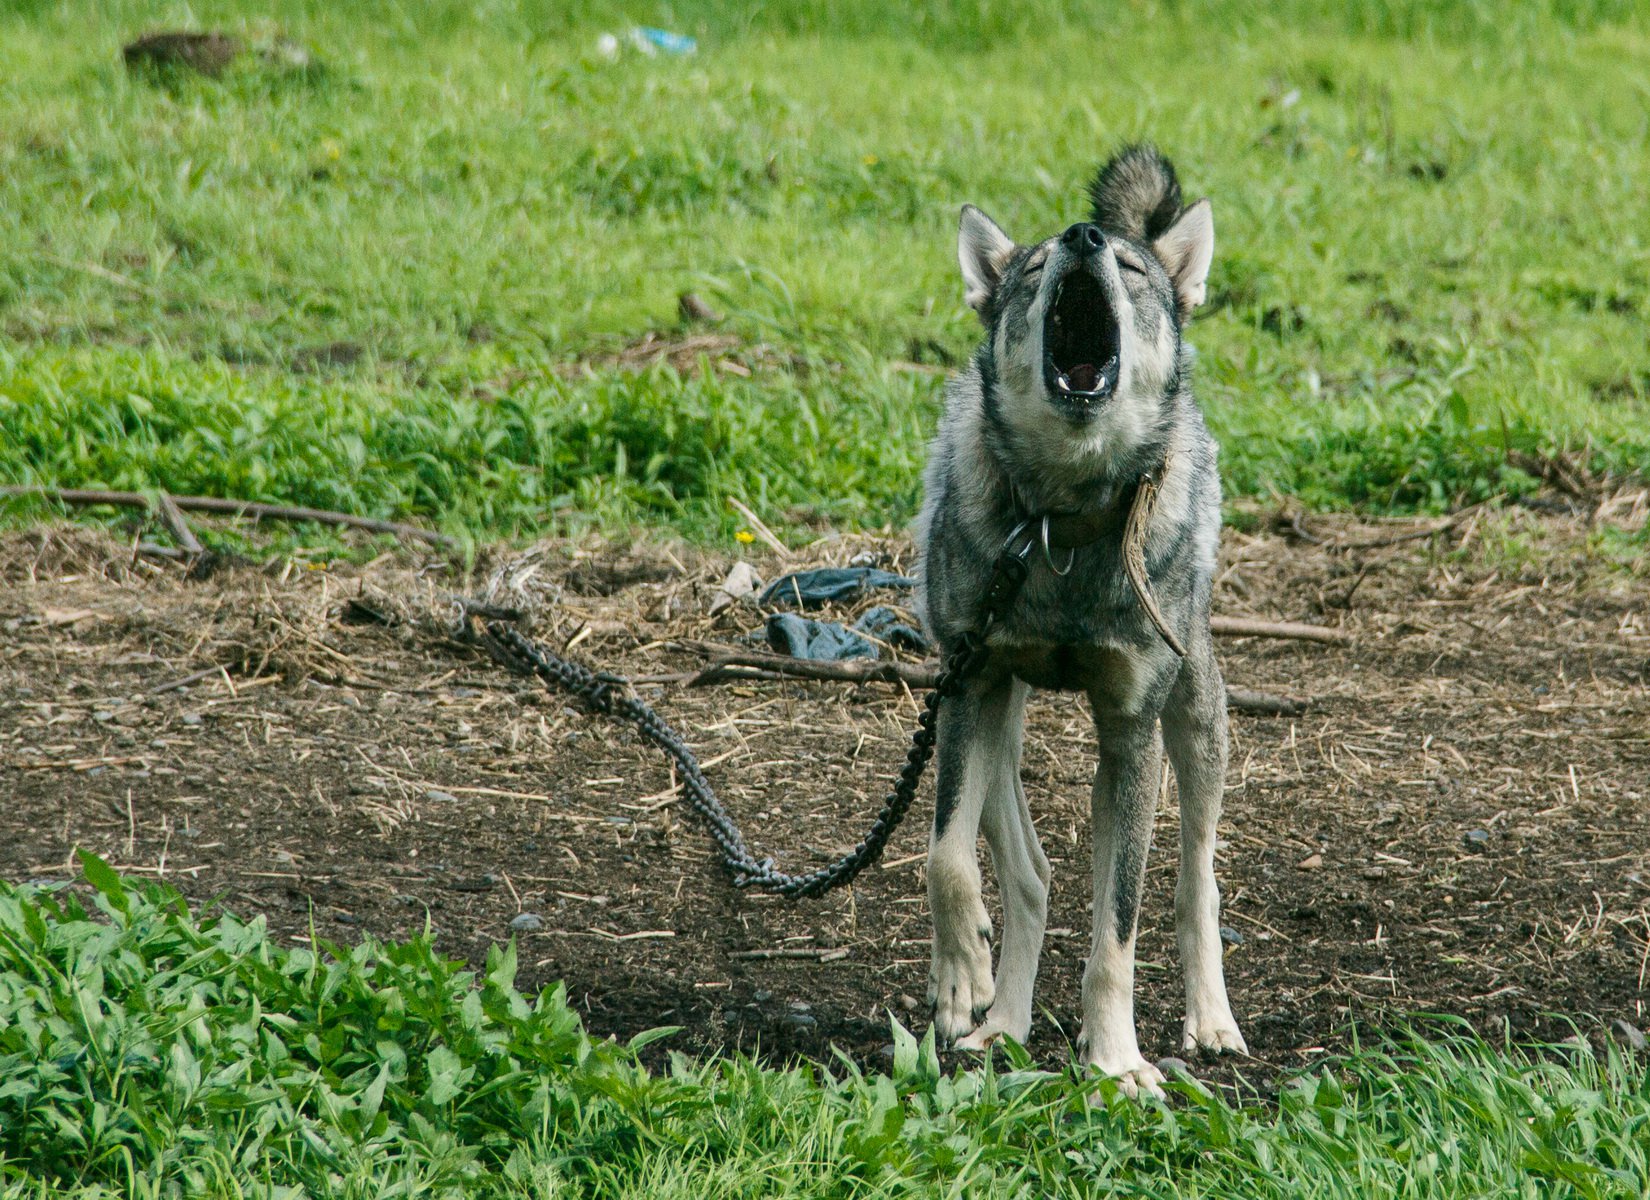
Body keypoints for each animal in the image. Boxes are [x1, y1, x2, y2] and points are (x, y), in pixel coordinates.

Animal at [910, 145, 1240, 1096]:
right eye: (1033, 269)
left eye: (1129, 270)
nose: (1086, 238)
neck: (1062, 521)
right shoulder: (968, 688)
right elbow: (945, 861)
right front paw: (962, 981)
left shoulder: (1130, 732)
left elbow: (1117, 929)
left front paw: (1117, 1061)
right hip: (997, 725)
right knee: (1029, 875)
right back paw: (1001, 1025)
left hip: (1196, 716)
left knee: (1197, 878)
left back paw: (1211, 1019)